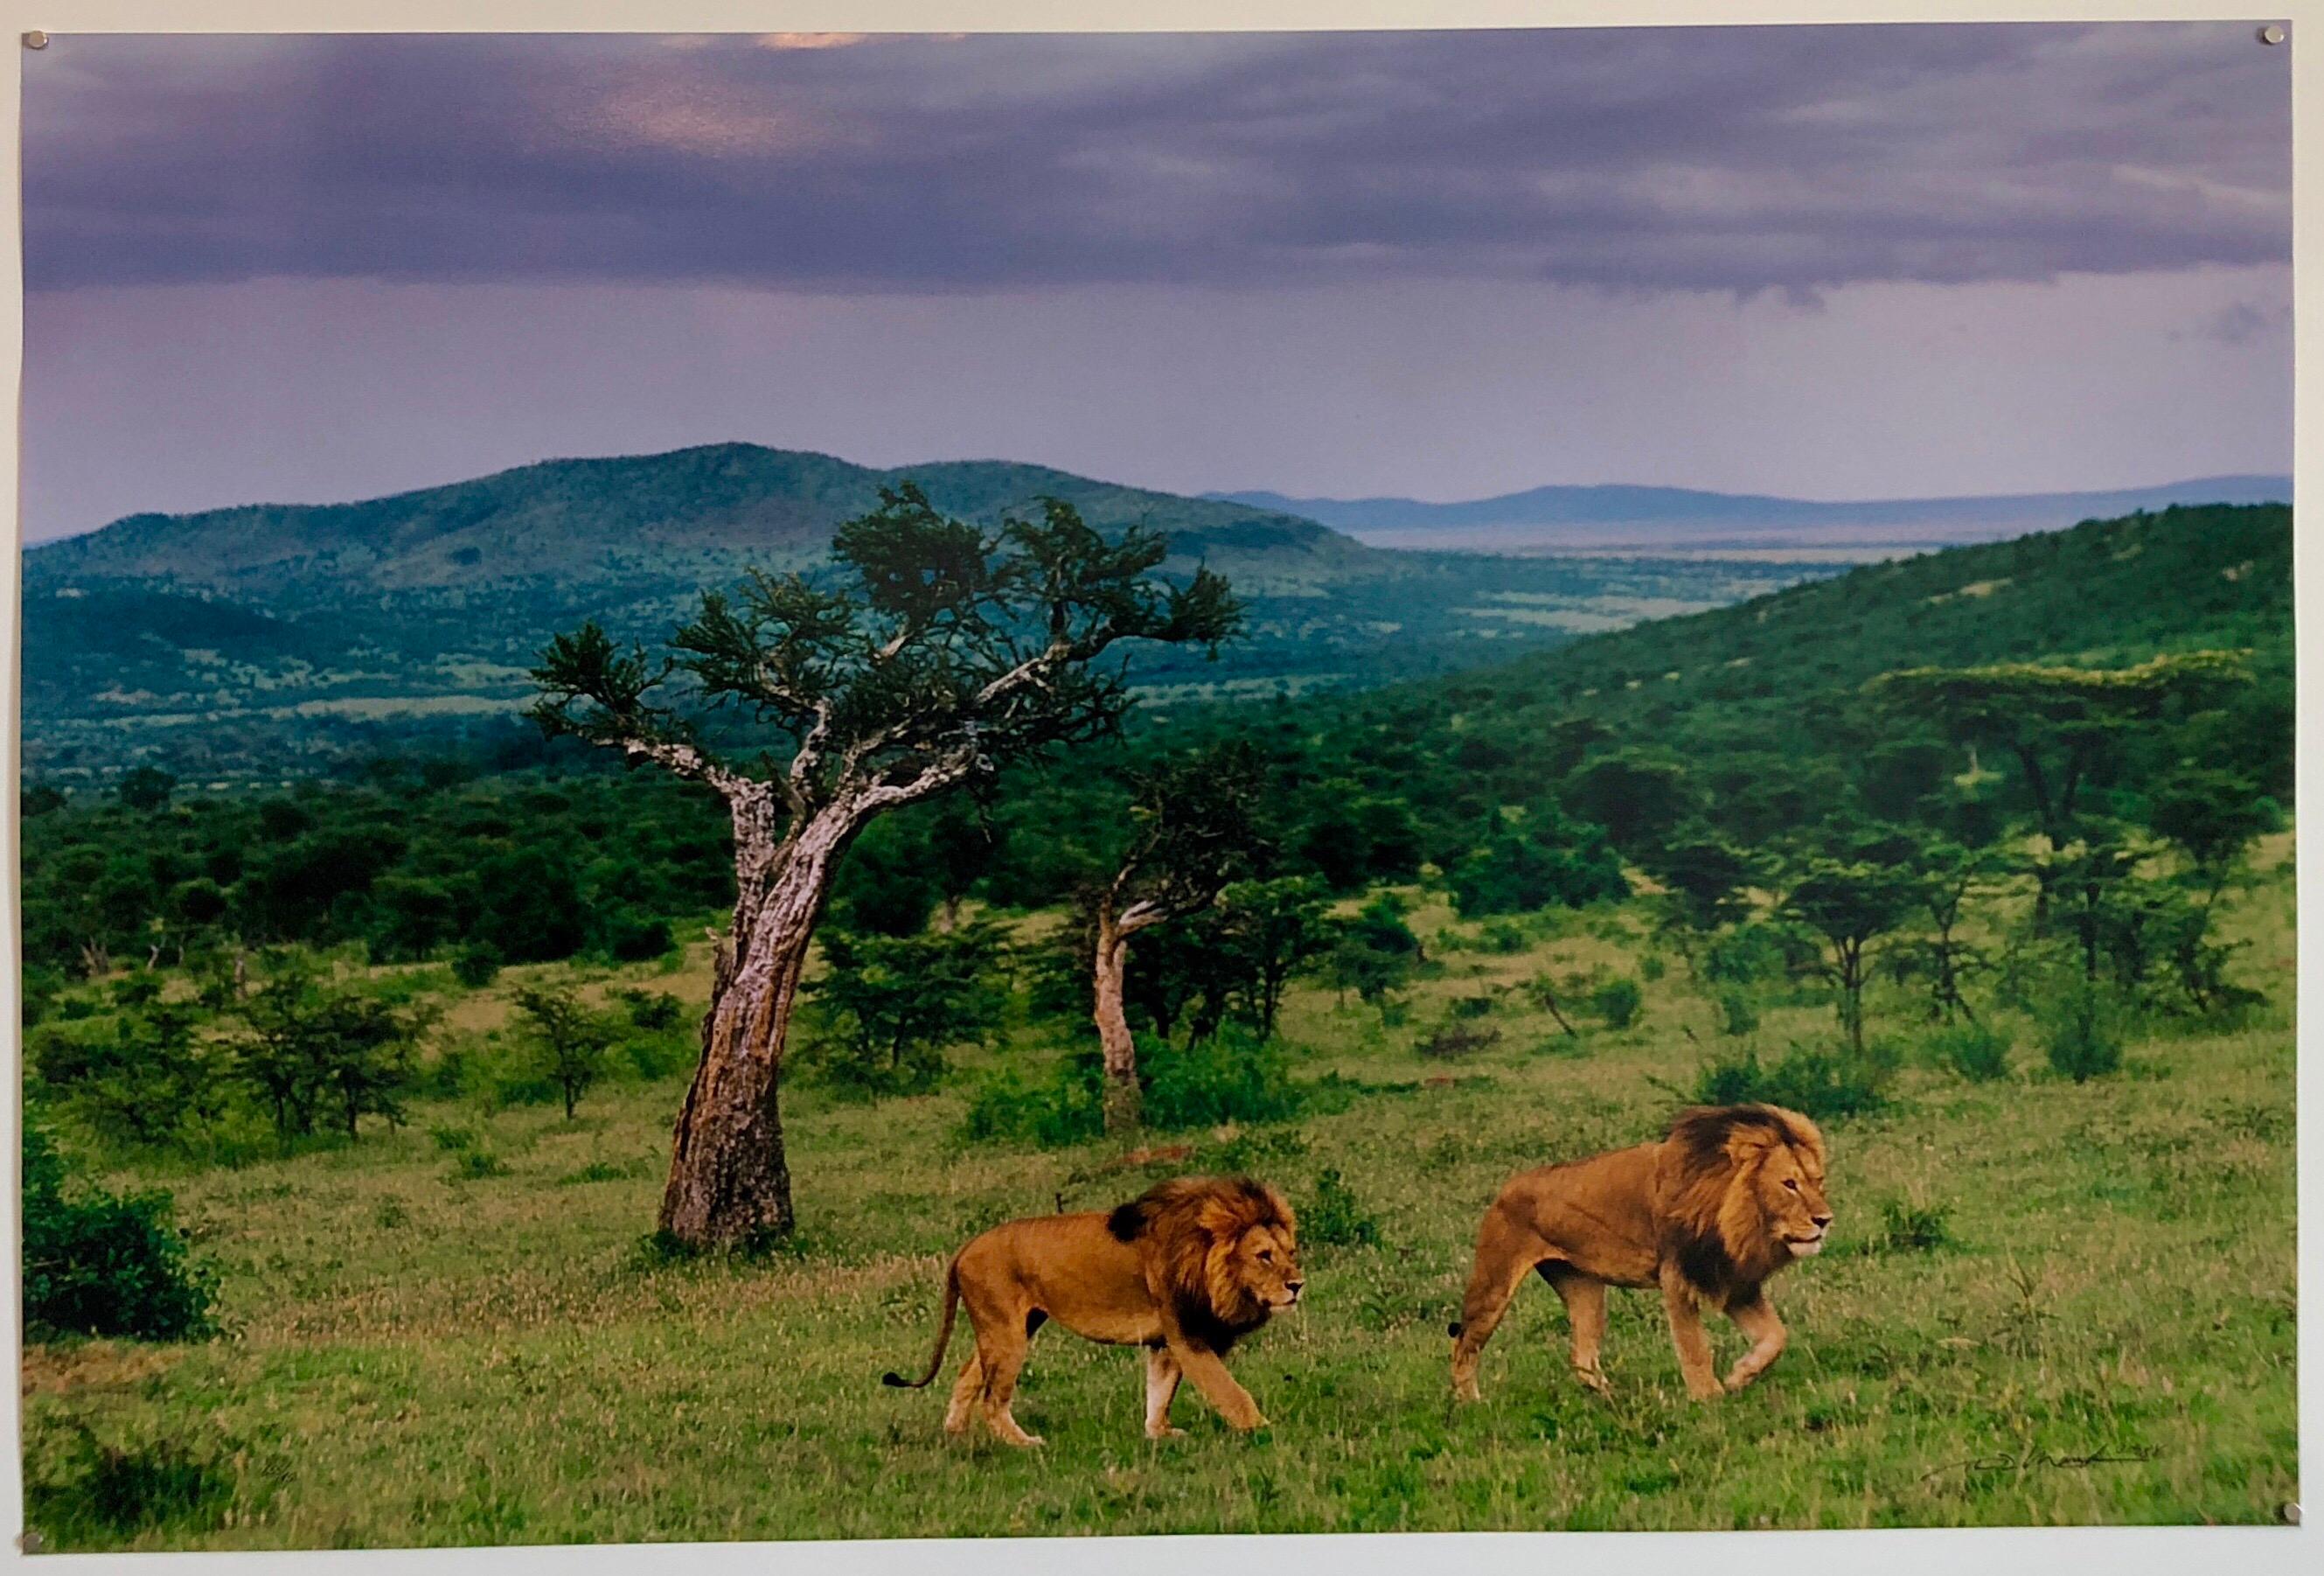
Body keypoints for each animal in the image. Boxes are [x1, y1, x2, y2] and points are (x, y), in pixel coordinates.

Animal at [878, 1181, 1301, 1450]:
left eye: (1290, 1252)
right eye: (1264, 1255)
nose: (1298, 1284)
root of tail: (964, 1248)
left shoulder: (1167, 1341)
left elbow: (1160, 1392)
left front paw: (1158, 1434)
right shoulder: (1187, 1334)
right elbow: (1230, 1391)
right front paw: (1264, 1431)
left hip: (1009, 1327)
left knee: (967, 1376)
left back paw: (955, 1435)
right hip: (1005, 1331)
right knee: (993, 1400)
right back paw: (1024, 1444)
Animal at [1440, 1111, 1821, 1404]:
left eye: (1818, 1181)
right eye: (1789, 1184)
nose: (1825, 1219)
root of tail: (1506, 1188)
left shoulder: (1731, 1281)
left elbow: (1776, 1336)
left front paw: (1740, 1376)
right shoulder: (1678, 1277)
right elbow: (1694, 1347)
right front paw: (1708, 1397)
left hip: (1584, 1289)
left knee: (1581, 1356)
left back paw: (1615, 1399)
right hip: (1494, 1285)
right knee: (1464, 1344)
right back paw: (1470, 1403)